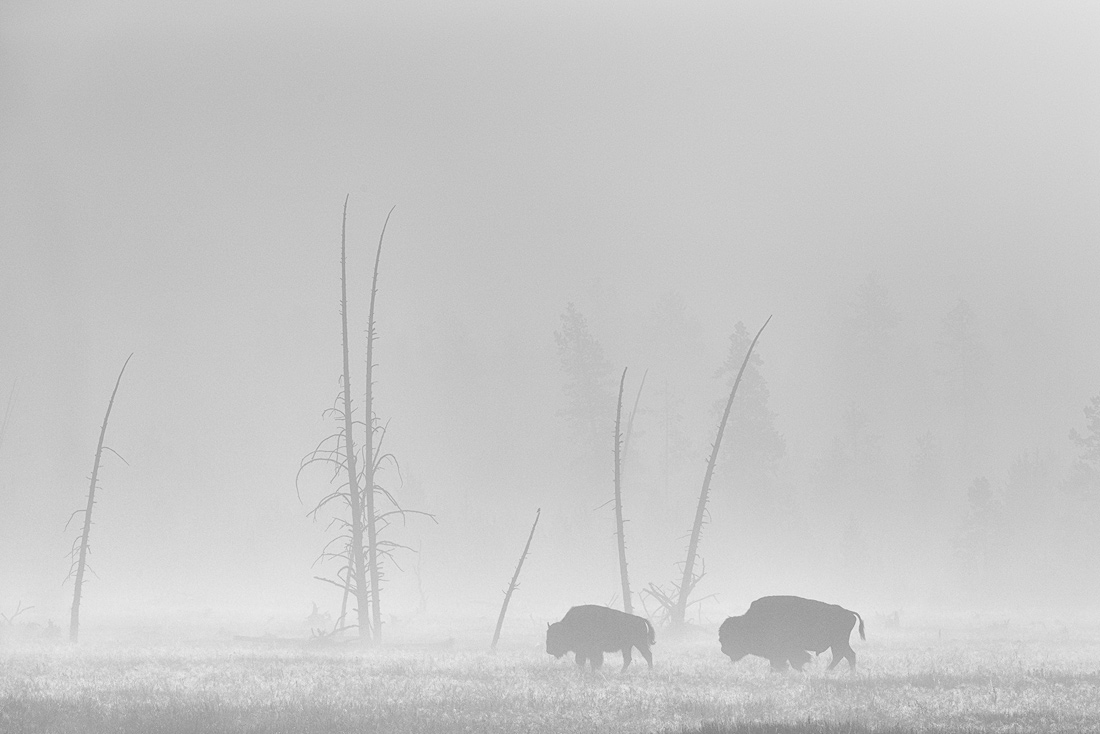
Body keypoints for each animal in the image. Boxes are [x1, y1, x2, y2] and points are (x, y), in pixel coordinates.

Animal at [719, 595, 865, 671]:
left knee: (845, 655)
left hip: (838, 642)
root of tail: (848, 612)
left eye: (730, 636)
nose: (723, 649)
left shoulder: (786, 651)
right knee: (846, 655)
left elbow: (793, 662)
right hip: (838, 643)